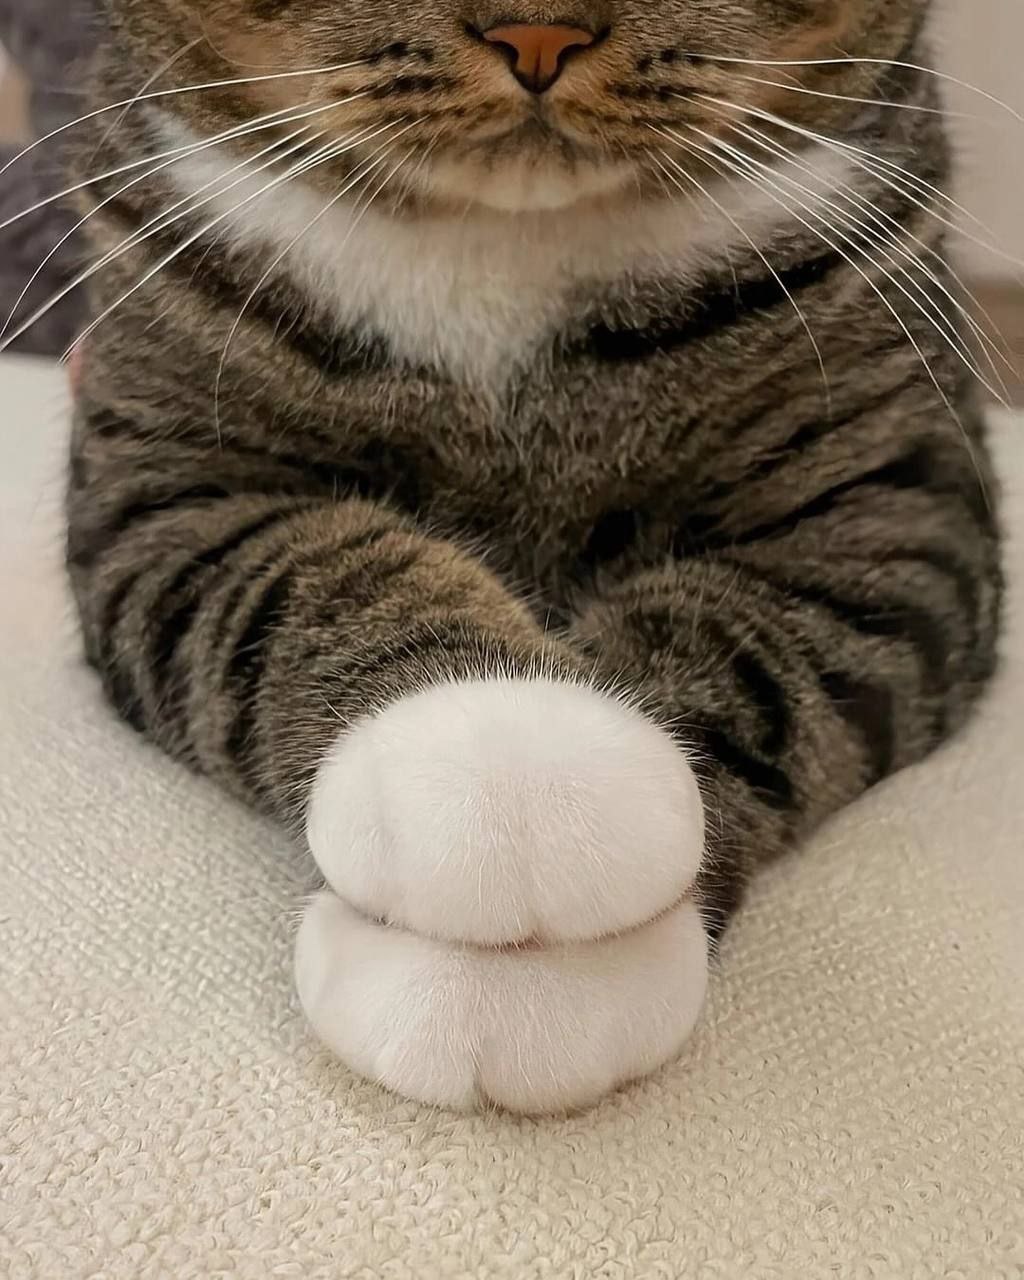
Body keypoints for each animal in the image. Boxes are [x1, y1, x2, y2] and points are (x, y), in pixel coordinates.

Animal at [61, 0, 1002, 1113]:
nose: (539, 34)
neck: (500, 253)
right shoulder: (163, 479)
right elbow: (295, 584)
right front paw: (493, 757)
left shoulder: (895, 493)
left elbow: (768, 654)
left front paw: (558, 947)